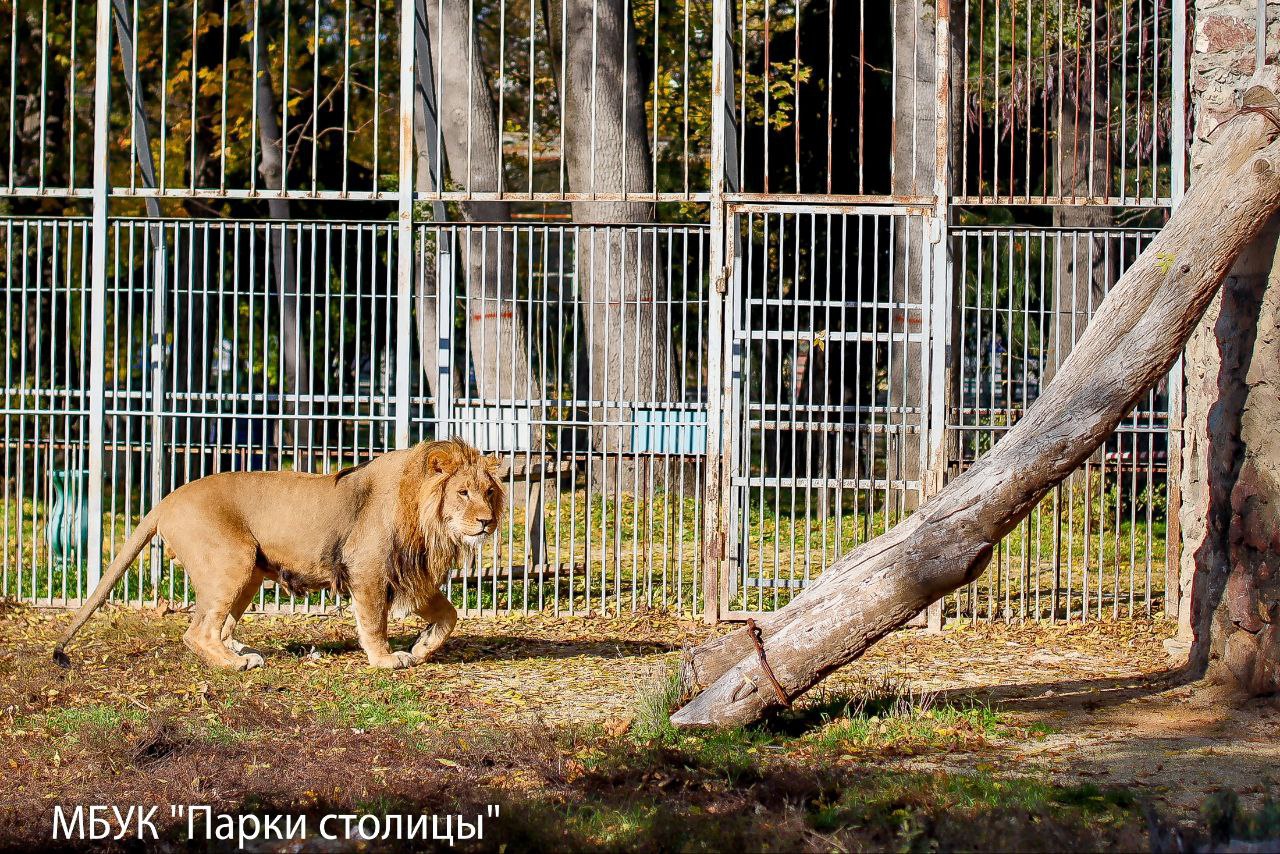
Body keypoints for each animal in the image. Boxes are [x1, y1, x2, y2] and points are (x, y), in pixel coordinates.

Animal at [52, 438, 505, 671]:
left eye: (489, 492)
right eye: (462, 492)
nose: (486, 522)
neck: (431, 523)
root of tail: (165, 500)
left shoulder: (413, 575)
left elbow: (450, 615)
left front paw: (422, 648)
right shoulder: (368, 570)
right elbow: (374, 623)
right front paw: (386, 659)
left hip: (249, 571)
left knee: (222, 625)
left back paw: (239, 652)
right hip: (232, 560)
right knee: (198, 631)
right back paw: (235, 664)